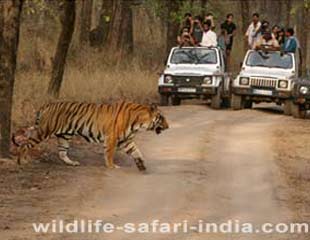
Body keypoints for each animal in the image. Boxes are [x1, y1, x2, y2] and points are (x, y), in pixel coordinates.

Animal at [12, 101, 168, 171]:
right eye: (162, 118)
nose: (168, 127)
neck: (139, 123)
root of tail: (47, 105)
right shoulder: (112, 138)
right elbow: (109, 153)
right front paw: (111, 166)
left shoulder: (126, 140)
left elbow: (136, 151)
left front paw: (141, 165)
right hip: (44, 131)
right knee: (26, 144)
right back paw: (22, 161)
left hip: (64, 136)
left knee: (62, 153)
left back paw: (72, 163)